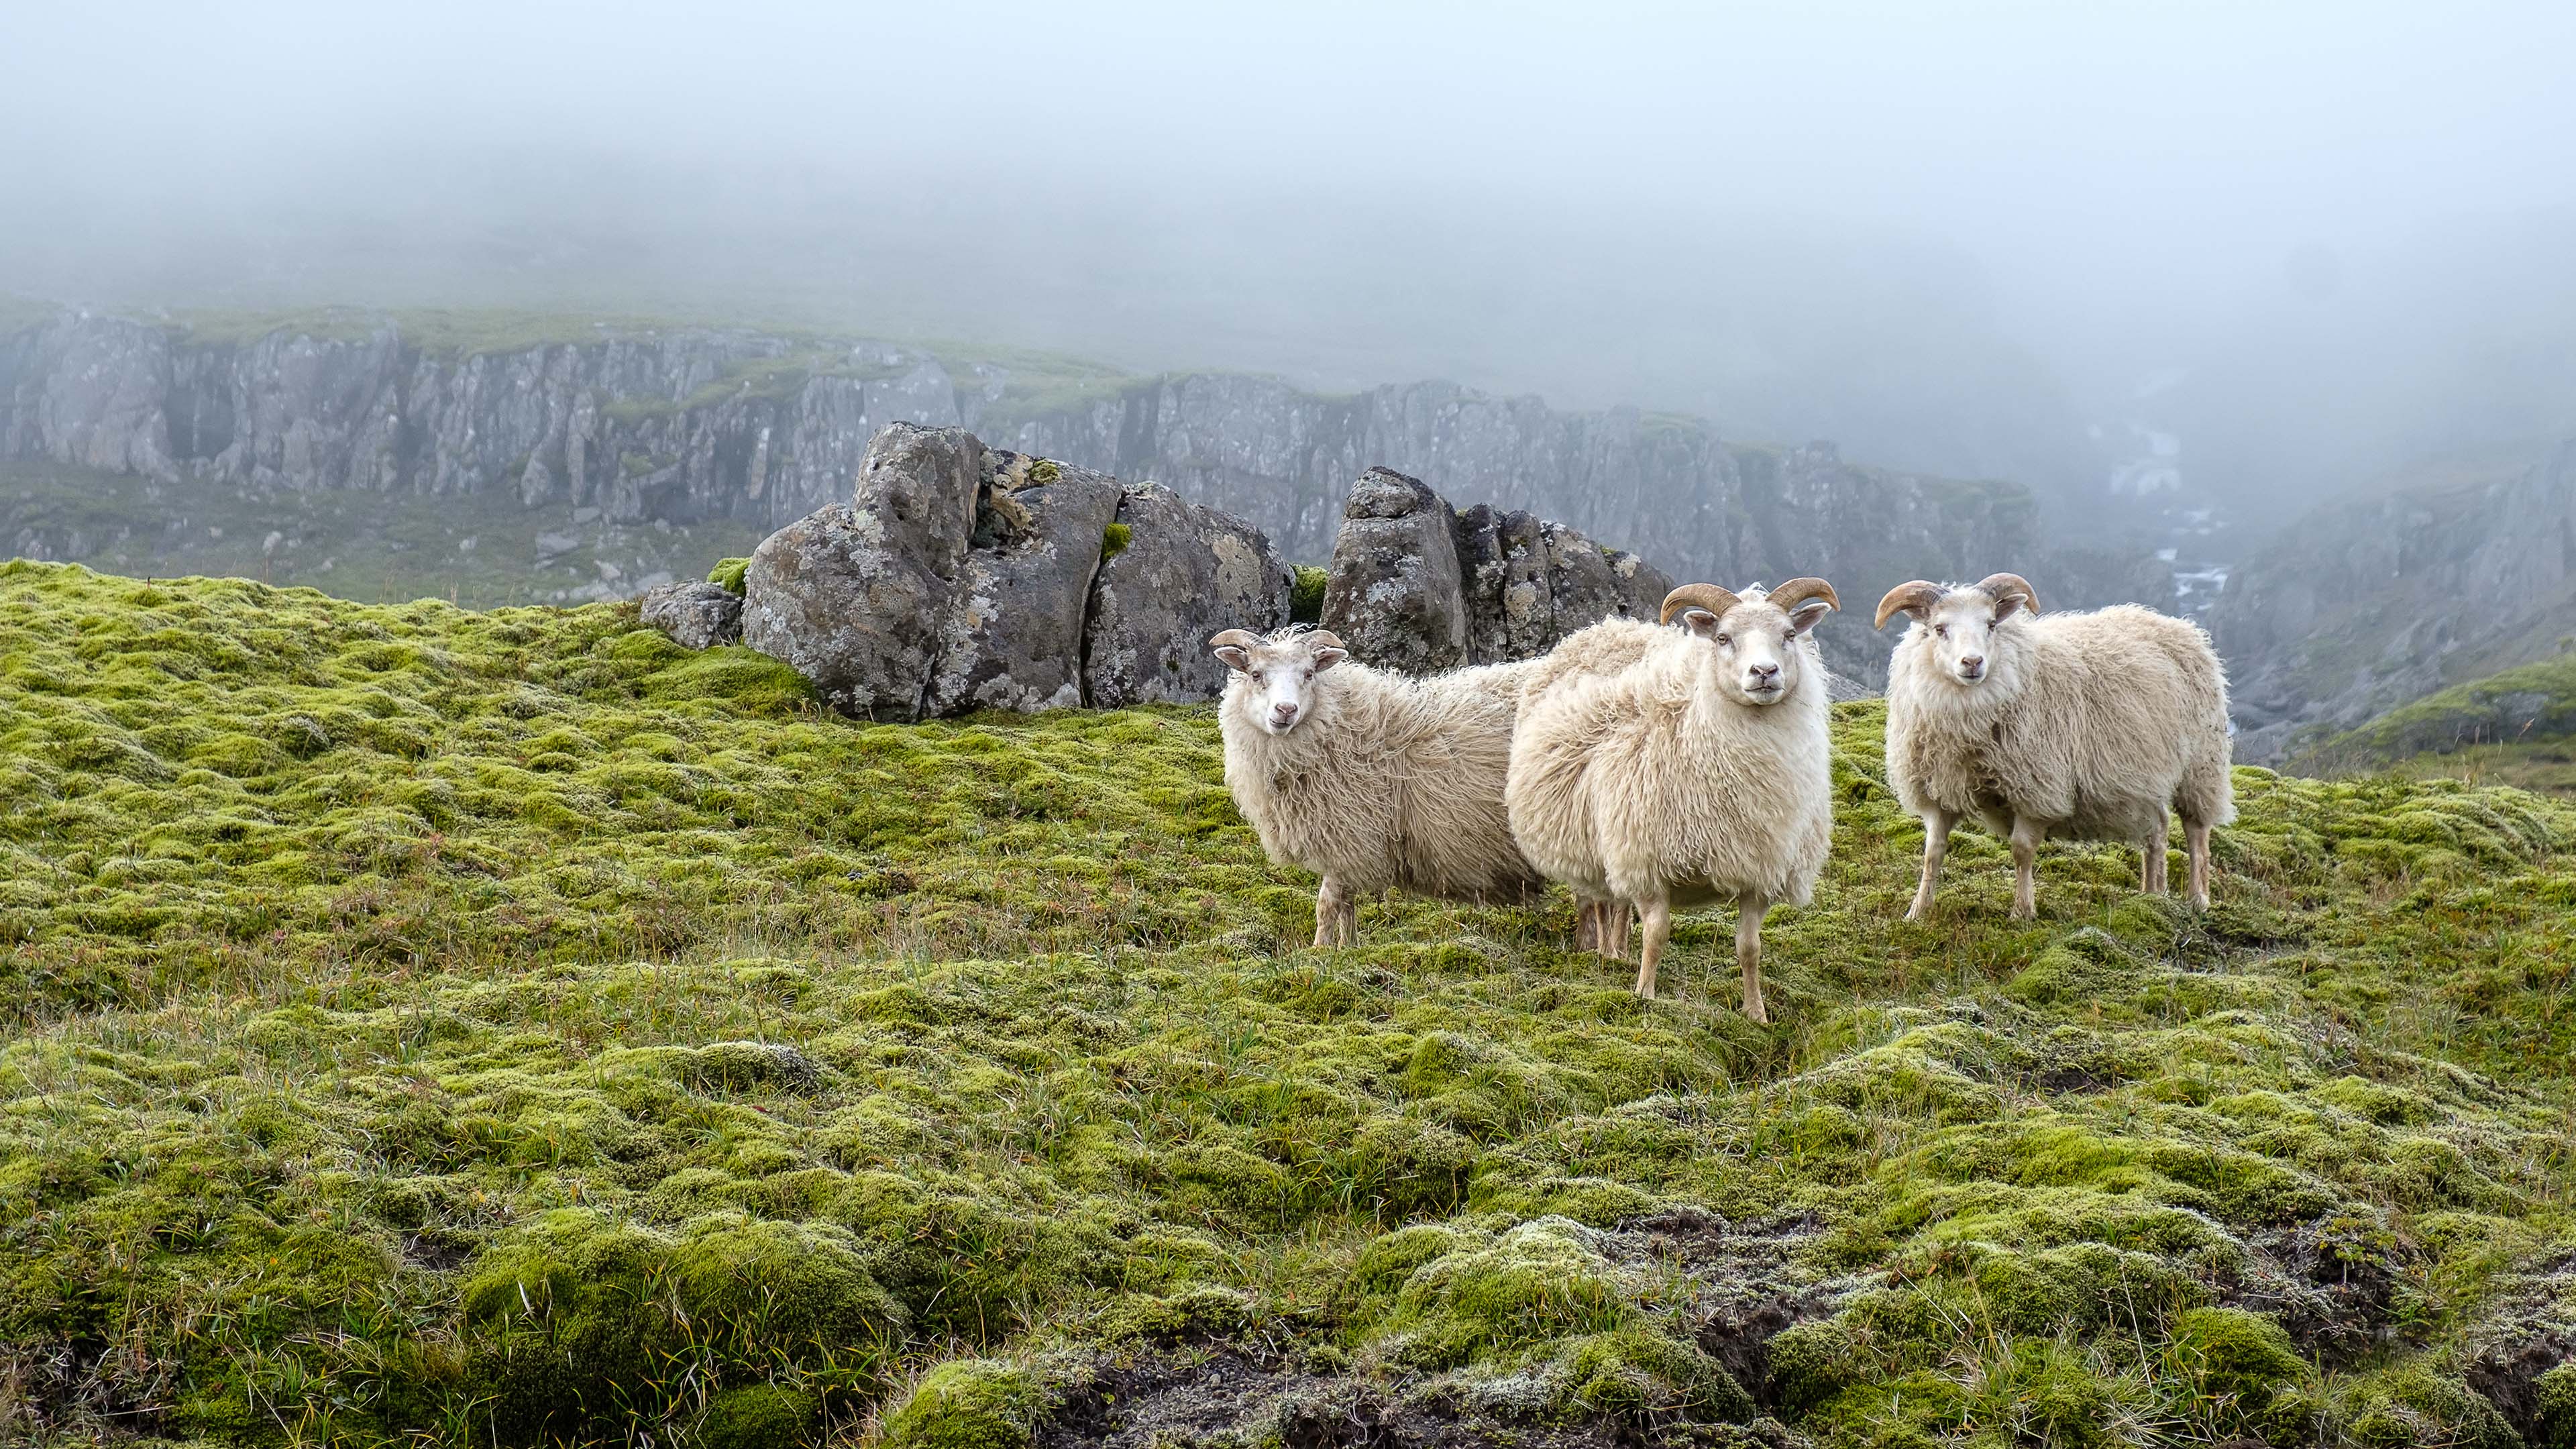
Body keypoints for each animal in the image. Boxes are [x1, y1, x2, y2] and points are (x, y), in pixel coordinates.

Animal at [1200, 624, 1535, 949]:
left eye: (1309, 674)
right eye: (1256, 674)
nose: (1286, 710)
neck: (1340, 727)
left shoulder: (1350, 835)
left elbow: (1327, 903)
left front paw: (1319, 950)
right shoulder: (1349, 846)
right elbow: (1346, 903)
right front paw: (1349, 947)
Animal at [1504, 577, 1844, 1016]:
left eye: (1788, 634)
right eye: (1722, 638)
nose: (1765, 672)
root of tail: (1609, 627)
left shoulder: (1759, 871)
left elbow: (1749, 948)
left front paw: (1756, 1013)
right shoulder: (1650, 862)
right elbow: (1657, 935)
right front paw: (1644, 995)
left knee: (1618, 904)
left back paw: (1618, 953)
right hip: (1594, 844)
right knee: (1599, 900)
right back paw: (1604, 953)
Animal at [1875, 567, 2236, 912]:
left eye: (1991, 624)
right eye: (1939, 628)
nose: (1973, 662)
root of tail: (2180, 626)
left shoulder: (2037, 788)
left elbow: (2021, 851)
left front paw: (2023, 911)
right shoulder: (1938, 788)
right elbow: (1932, 852)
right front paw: (1918, 911)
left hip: (2201, 765)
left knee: (2196, 832)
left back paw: (2198, 899)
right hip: (2147, 778)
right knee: (2158, 831)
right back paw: (2152, 895)